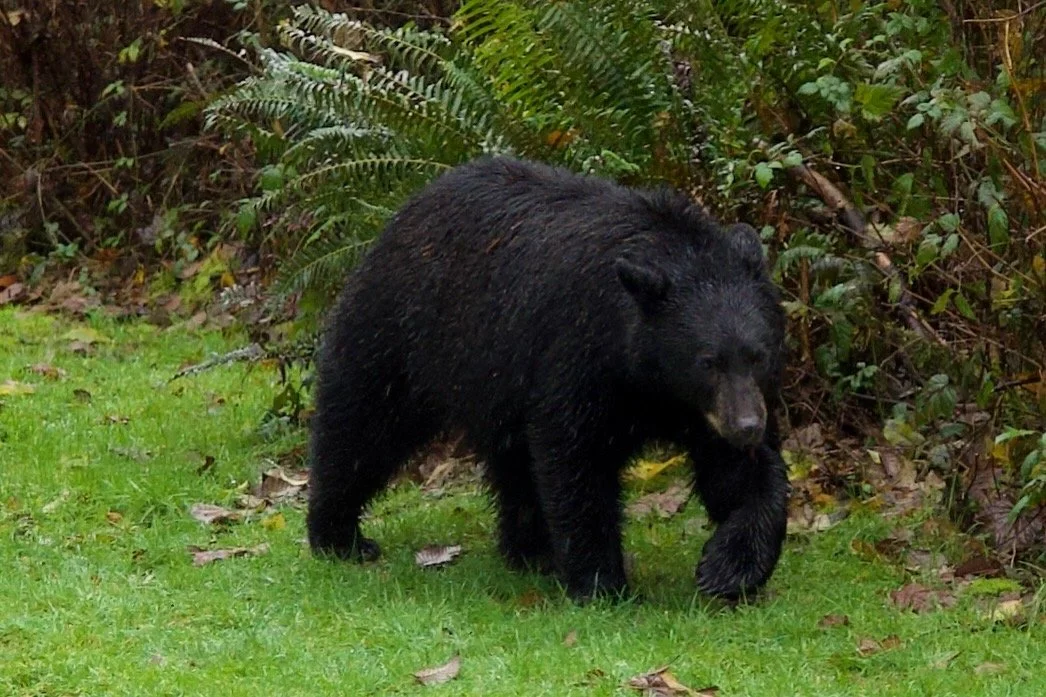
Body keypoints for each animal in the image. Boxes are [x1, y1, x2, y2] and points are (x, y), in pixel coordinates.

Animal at [306, 156, 789, 601]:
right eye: (707, 361)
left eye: (758, 355)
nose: (746, 427)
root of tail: (406, 211)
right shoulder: (580, 352)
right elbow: (575, 457)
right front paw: (601, 582)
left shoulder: (708, 407)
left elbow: (743, 477)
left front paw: (729, 568)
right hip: (404, 332)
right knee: (362, 424)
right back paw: (339, 536)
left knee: (513, 461)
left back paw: (530, 550)